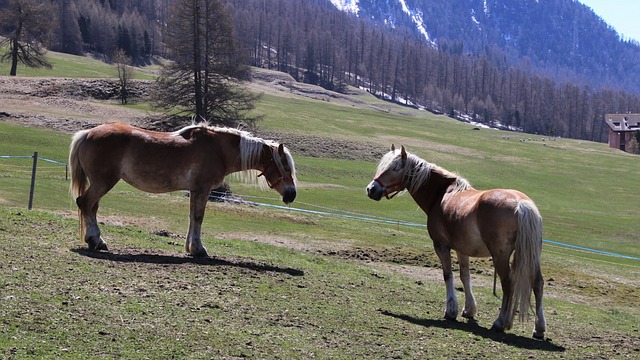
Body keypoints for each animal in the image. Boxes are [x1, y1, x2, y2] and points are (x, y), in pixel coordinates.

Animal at [70, 122, 298, 258]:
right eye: (286, 168)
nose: (292, 194)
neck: (218, 150)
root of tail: (88, 133)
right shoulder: (203, 189)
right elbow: (198, 217)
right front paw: (198, 249)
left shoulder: (195, 191)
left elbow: (192, 217)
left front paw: (190, 247)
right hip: (103, 182)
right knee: (85, 203)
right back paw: (96, 240)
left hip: (100, 183)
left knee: (91, 207)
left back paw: (96, 240)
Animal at [364, 145, 544, 338]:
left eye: (395, 168)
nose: (371, 189)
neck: (440, 194)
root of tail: (522, 205)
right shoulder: (462, 250)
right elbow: (465, 276)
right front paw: (469, 310)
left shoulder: (441, 246)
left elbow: (448, 274)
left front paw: (451, 310)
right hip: (532, 256)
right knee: (537, 284)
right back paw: (539, 328)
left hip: (500, 257)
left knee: (508, 284)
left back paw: (500, 322)